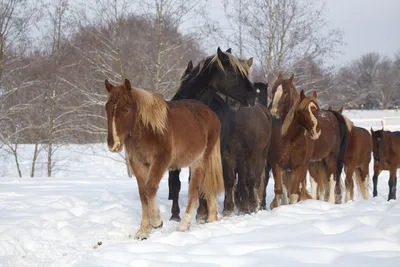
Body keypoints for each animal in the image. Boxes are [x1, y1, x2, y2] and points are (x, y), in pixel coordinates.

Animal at [104, 77, 225, 241]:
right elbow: (143, 194)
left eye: (126, 109)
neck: (149, 131)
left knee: (194, 191)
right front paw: (143, 231)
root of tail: (212, 115)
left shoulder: (160, 161)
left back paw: (184, 225)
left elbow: (150, 189)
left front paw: (156, 222)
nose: (113, 144)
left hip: (199, 162)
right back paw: (211, 218)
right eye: (107, 108)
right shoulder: (138, 164)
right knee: (207, 187)